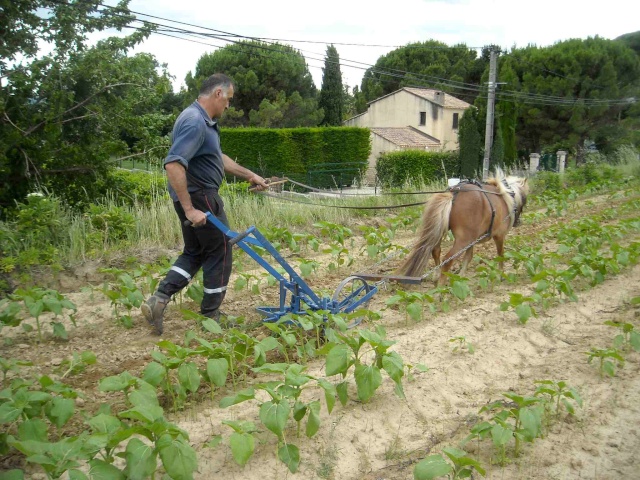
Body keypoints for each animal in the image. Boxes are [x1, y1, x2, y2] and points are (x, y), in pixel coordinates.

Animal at [400, 168, 528, 284]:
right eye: (525, 199)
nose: (518, 222)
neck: (504, 197)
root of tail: (454, 193)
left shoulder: (472, 240)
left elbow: (468, 256)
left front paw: (461, 277)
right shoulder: (499, 236)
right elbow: (500, 255)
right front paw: (500, 275)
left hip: (445, 234)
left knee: (436, 251)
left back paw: (436, 277)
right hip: (463, 240)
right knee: (447, 259)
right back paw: (441, 289)